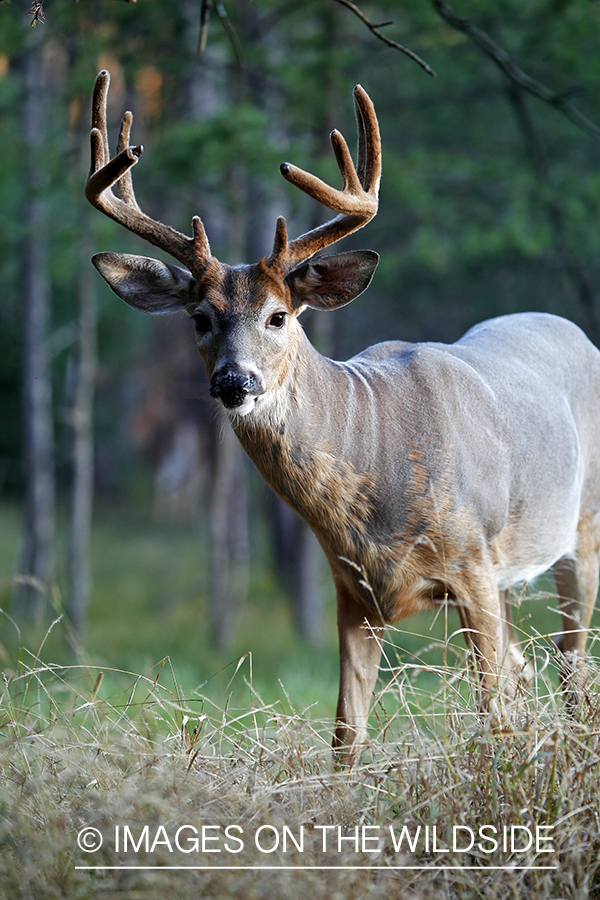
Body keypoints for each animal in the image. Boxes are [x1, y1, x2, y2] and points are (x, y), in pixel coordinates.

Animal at [83, 68, 600, 768]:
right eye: (199, 318)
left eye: (279, 315)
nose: (234, 381)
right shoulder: (352, 590)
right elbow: (346, 737)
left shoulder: (471, 564)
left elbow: (492, 716)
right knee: (533, 668)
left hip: (580, 532)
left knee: (571, 668)